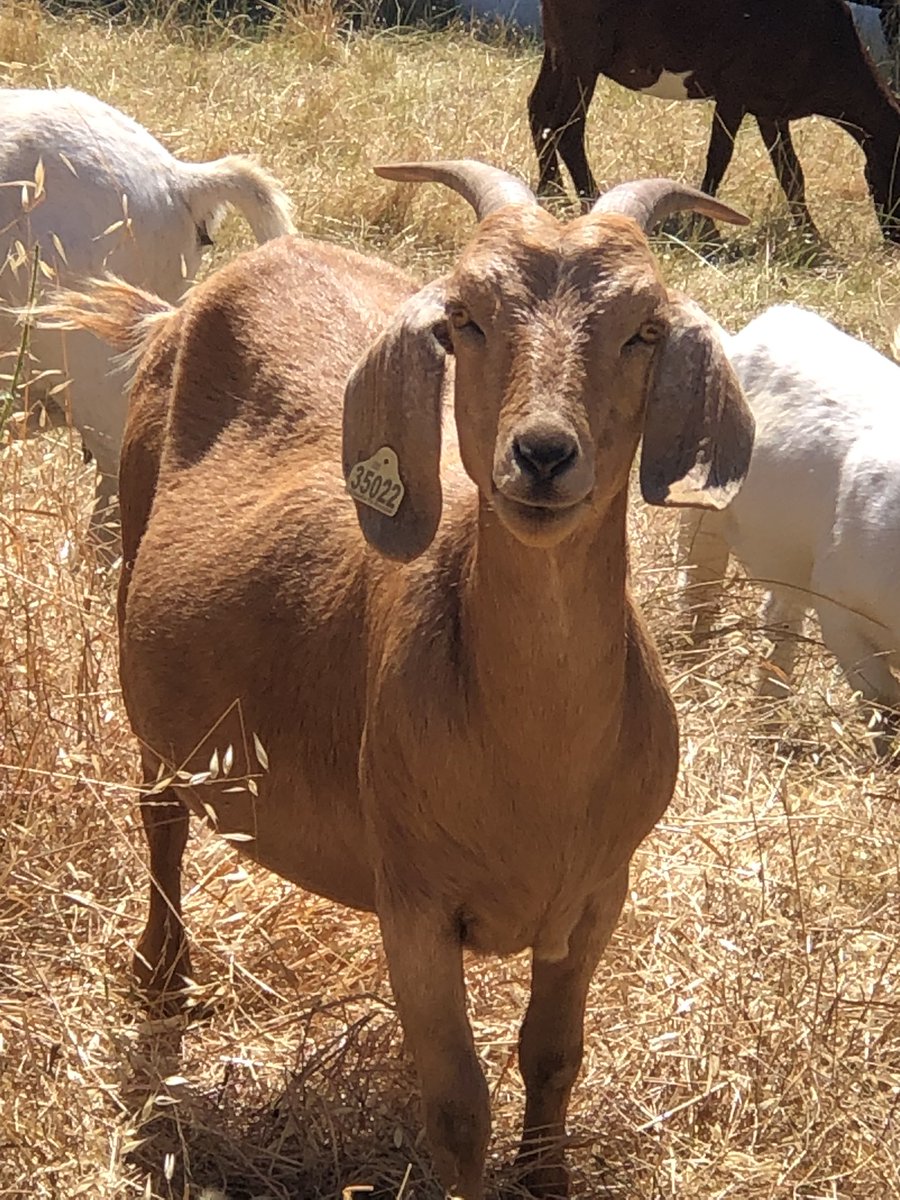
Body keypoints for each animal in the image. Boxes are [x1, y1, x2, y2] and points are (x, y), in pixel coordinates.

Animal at [51, 161, 752, 1197]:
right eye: (464, 317)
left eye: (646, 328)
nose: (542, 454)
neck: (536, 764)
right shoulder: (413, 901)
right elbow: (458, 1106)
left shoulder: (600, 892)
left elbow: (554, 1058)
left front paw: (549, 1176)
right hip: (142, 616)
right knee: (162, 814)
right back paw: (164, 978)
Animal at [529, 0, 900, 241]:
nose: (895, 241)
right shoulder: (734, 92)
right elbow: (719, 157)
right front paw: (706, 227)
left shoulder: (771, 109)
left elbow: (791, 173)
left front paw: (812, 236)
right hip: (584, 51)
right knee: (568, 125)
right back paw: (590, 200)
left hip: (559, 47)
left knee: (539, 111)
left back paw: (551, 194)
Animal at [679, 304, 900, 751]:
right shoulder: (840, 609)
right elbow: (882, 702)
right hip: (704, 517)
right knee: (699, 594)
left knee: (778, 617)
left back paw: (768, 716)